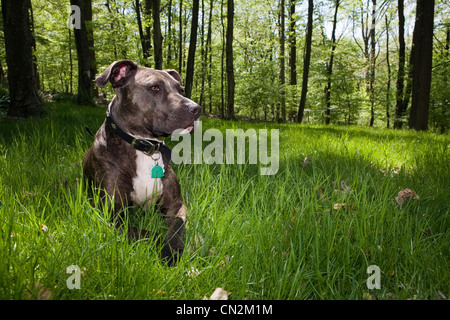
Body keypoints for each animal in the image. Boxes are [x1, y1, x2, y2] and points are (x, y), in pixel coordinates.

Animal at [82, 60, 200, 264]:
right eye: (154, 87)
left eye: (180, 89)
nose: (196, 109)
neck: (145, 148)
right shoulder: (113, 214)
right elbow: (147, 233)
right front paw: (166, 250)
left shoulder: (176, 204)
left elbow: (177, 226)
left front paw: (174, 248)